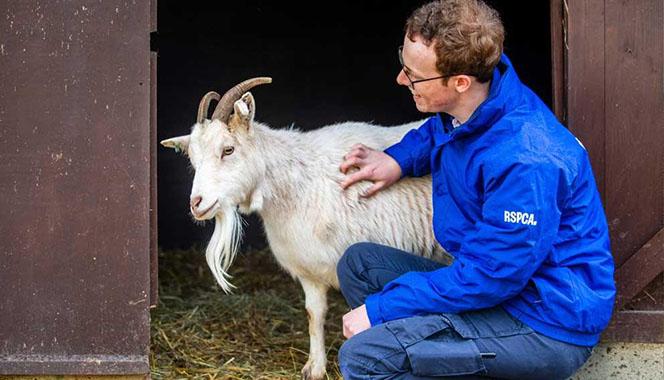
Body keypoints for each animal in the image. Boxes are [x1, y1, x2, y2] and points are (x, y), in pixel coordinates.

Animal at [162, 78, 452, 380]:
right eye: (192, 159)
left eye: (228, 149)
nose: (197, 203)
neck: (300, 184)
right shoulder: (309, 270)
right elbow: (315, 314)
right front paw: (315, 367)